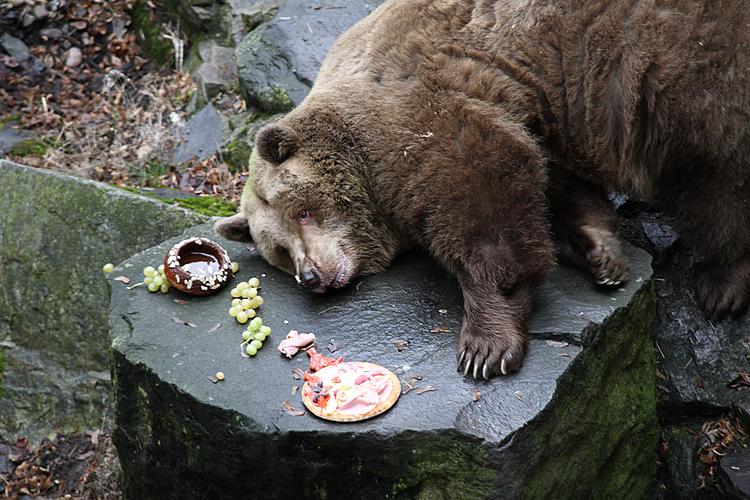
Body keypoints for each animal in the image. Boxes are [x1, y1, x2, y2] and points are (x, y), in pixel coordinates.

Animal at [216, 0, 750, 378]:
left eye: (302, 211)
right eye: (279, 250)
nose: (311, 275)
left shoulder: (421, 111)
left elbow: (482, 198)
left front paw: (484, 345)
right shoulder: (538, 113)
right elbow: (555, 182)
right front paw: (599, 252)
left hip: (672, 63)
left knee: (709, 169)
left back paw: (721, 283)